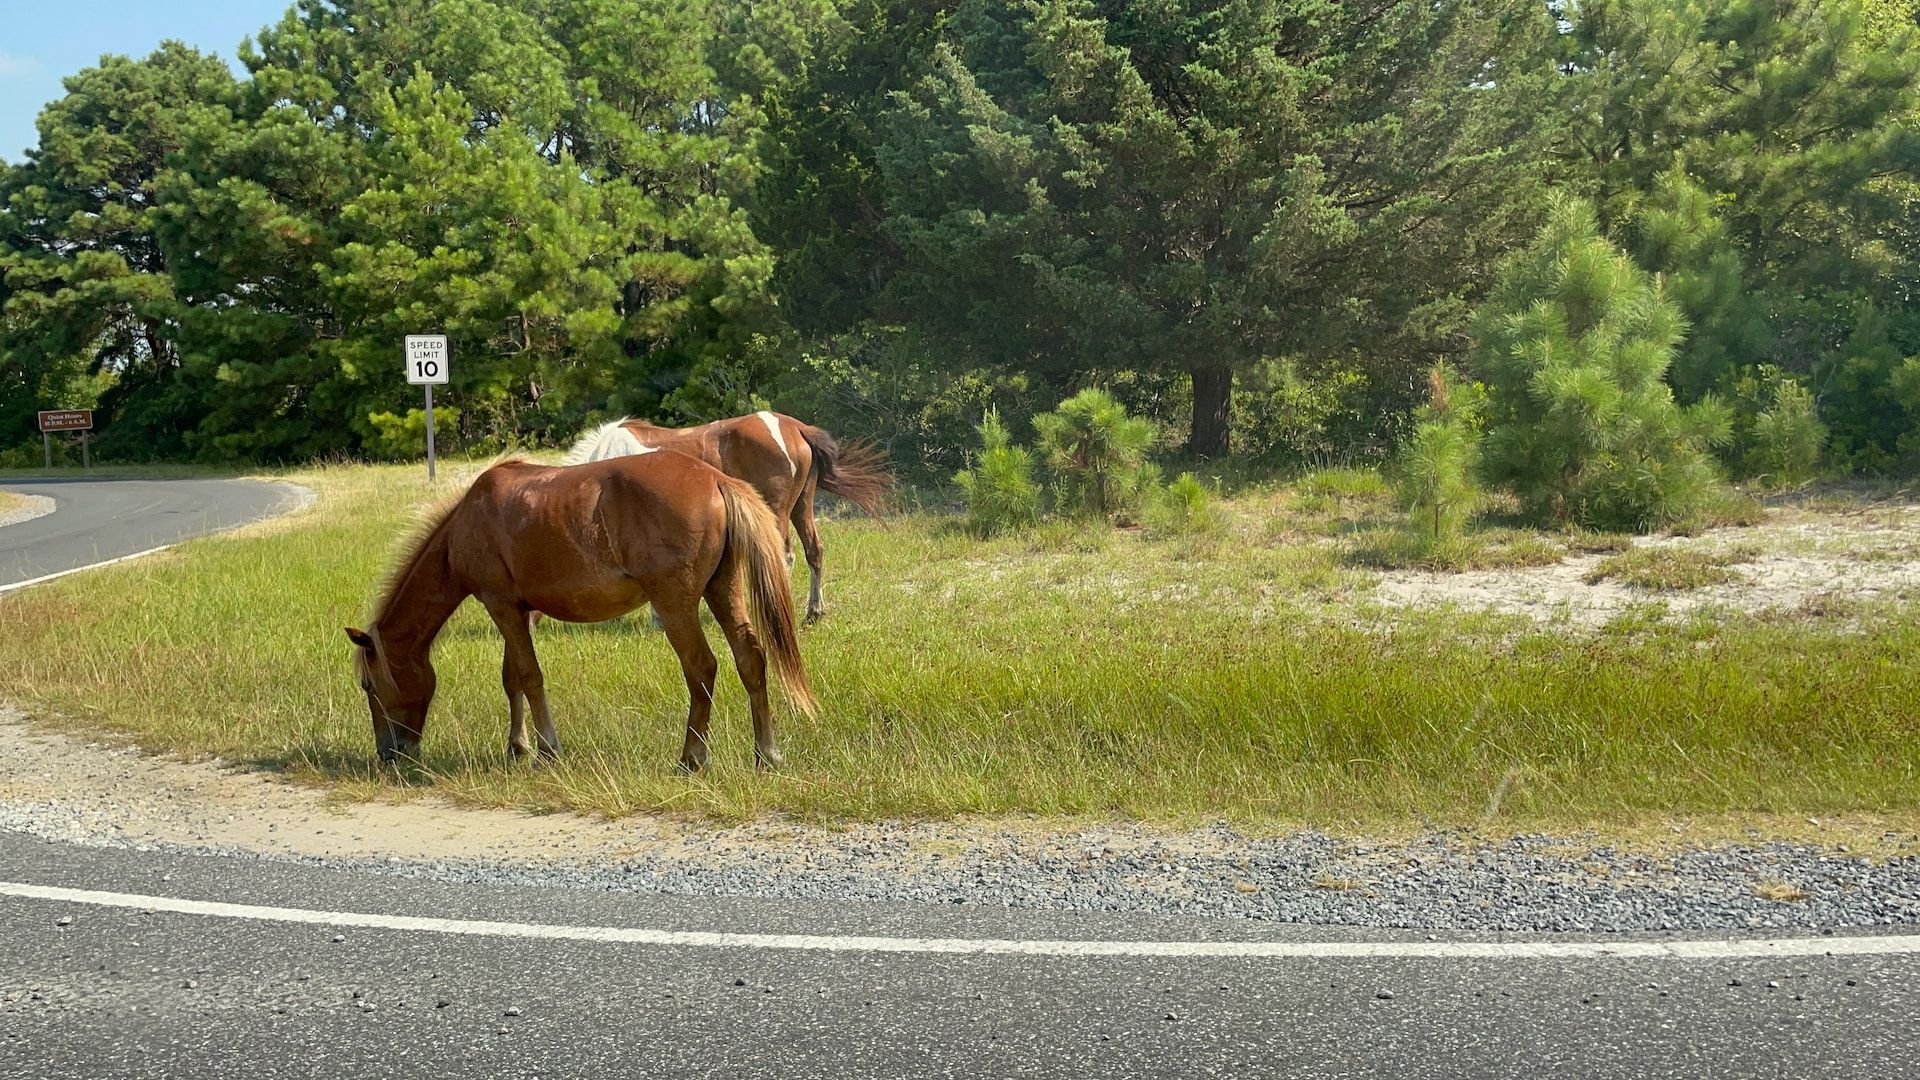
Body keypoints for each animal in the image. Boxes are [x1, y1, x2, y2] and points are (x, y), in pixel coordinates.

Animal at [345, 449, 810, 768]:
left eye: (369, 686)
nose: (389, 752)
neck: (467, 522)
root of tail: (714, 479)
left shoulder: (501, 605)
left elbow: (530, 677)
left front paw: (546, 749)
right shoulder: (521, 610)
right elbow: (512, 677)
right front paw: (517, 745)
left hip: (676, 604)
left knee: (701, 668)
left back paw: (692, 756)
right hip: (723, 589)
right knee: (750, 657)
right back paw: (766, 753)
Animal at [560, 407, 890, 618]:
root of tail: (794, 428)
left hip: (776, 510)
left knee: (784, 556)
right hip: (801, 506)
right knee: (814, 551)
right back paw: (814, 612)